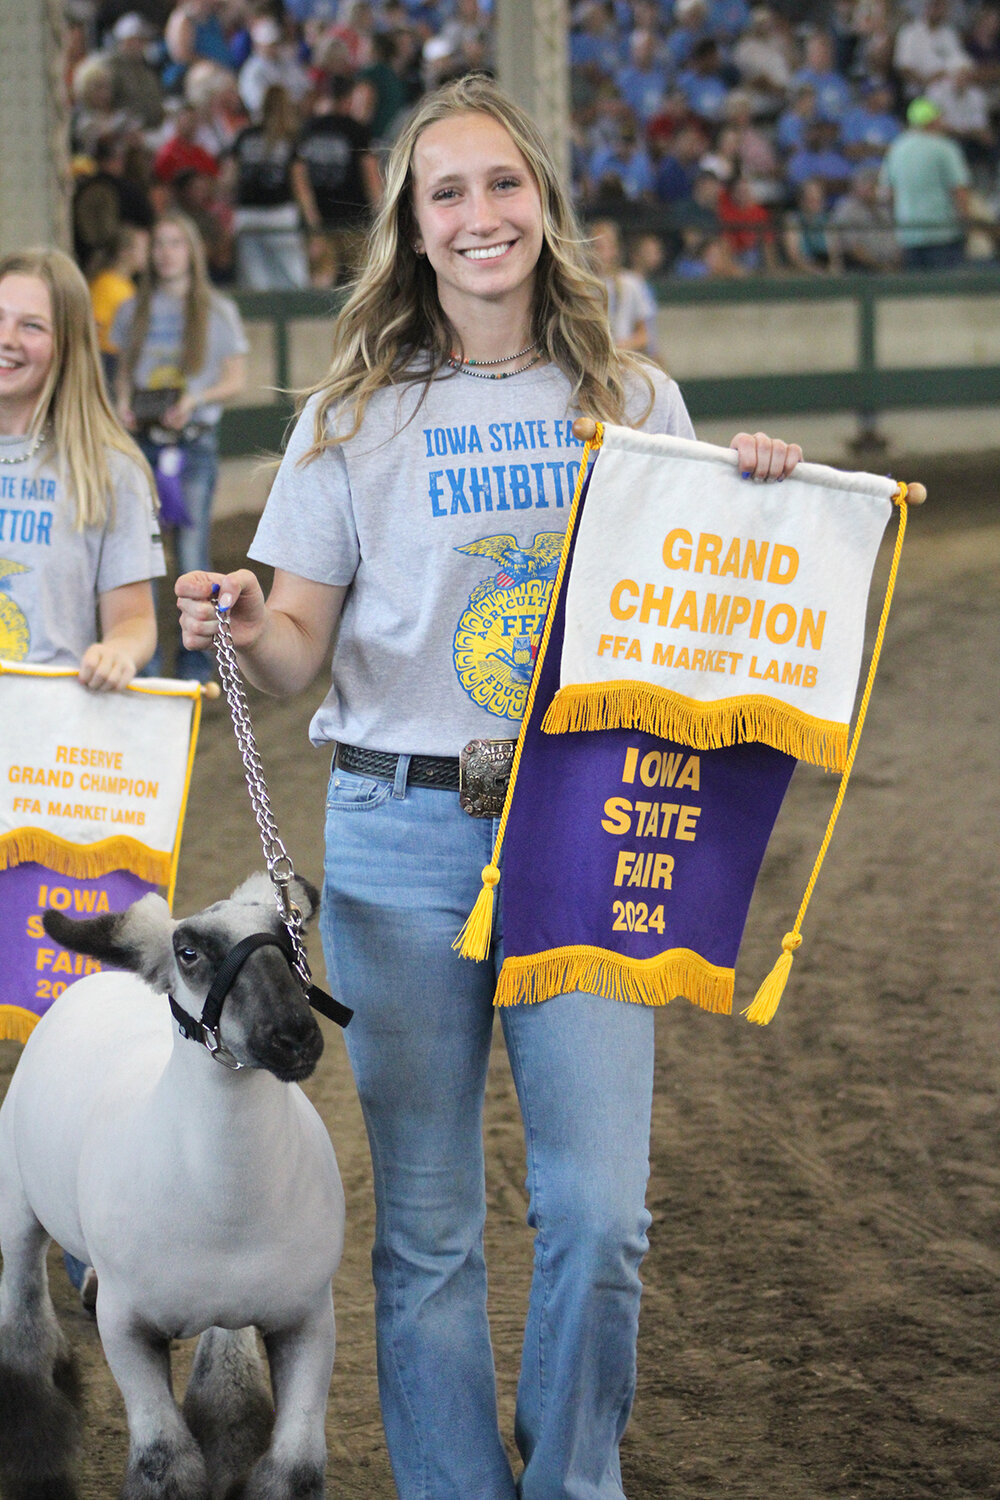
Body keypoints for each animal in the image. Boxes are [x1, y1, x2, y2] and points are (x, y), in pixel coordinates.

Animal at [0, 876, 344, 1494]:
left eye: (293, 936)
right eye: (190, 953)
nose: (295, 1038)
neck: (229, 1210)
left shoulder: (307, 1317)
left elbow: (297, 1466)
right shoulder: (125, 1326)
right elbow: (163, 1462)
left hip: (234, 1308)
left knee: (226, 1385)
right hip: (15, 1209)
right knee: (24, 1333)